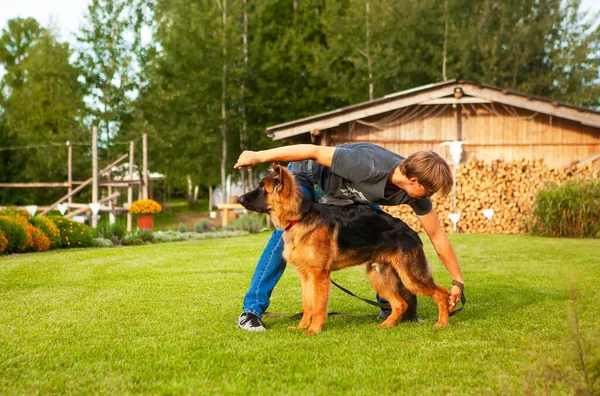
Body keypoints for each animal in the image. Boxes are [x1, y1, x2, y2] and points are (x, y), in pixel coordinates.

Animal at [237, 164, 448, 334]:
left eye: (262, 187)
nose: (239, 198)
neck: (300, 217)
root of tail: (412, 232)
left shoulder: (319, 276)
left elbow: (318, 307)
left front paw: (313, 330)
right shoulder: (305, 276)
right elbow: (307, 305)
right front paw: (301, 327)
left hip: (410, 277)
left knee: (442, 293)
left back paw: (442, 324)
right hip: (378, 276)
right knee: (400, 304)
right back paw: (387, 325)